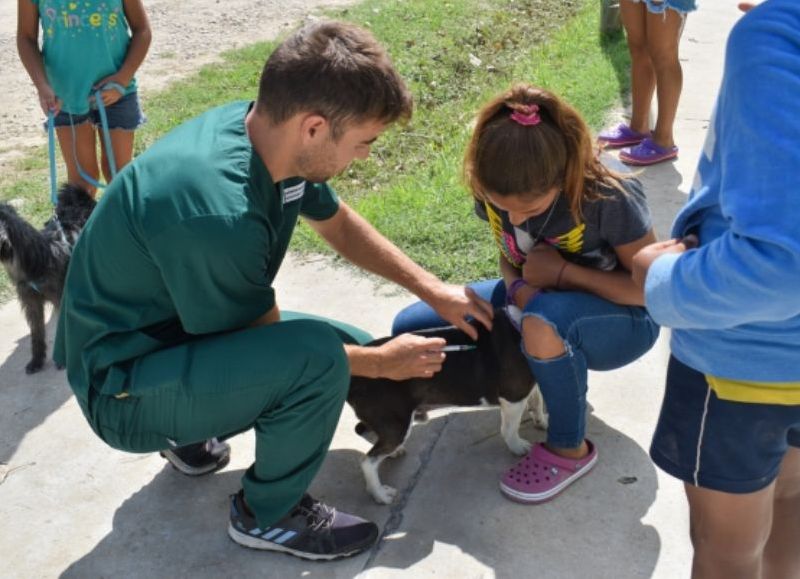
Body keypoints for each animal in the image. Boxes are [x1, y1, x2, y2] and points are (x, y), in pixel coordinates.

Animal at [346, 310, 548, 506]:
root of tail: (353, 376)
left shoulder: (531, 385)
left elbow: (537, 401)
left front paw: (542, 422)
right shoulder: (514, 396)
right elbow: (510, 429)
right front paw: (518, 447)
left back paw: (394, 452)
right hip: (396, 422)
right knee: (368, 462)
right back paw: (380, 494)